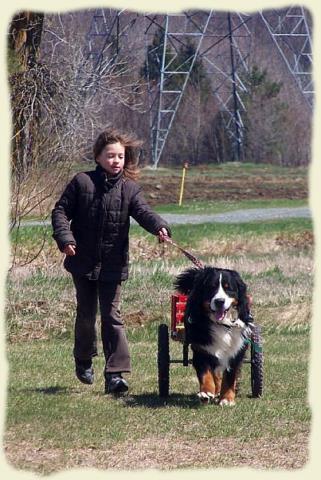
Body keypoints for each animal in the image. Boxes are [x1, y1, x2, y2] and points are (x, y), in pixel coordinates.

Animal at [174, 266, 251, 404]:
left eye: (228, 288)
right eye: (211, 287)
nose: (219, 301)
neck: (222, 325)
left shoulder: (236, 350)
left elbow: (230, 377)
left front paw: (227, 398)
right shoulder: (201, 348)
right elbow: (206, 373)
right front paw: (206, 392)